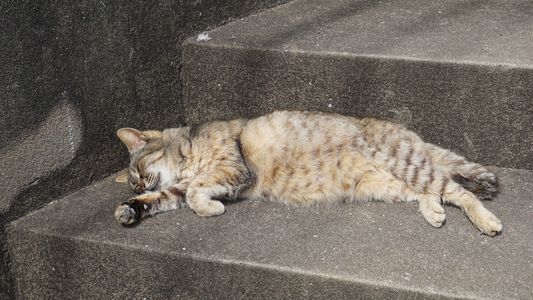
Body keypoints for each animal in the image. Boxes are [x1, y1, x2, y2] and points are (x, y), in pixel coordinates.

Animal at [114, 111, 500, 236]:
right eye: (133, 179)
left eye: (139, 169)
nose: (138, 181)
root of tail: (409, 133)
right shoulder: (177, 189)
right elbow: (163, 198)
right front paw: (129, 208)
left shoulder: (234, 169)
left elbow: (196, 192)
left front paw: (211, 208)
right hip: (388, 183)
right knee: (432, 190)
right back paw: (433, 212)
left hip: (405, 163)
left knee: (459, 191)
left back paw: (486, 221)